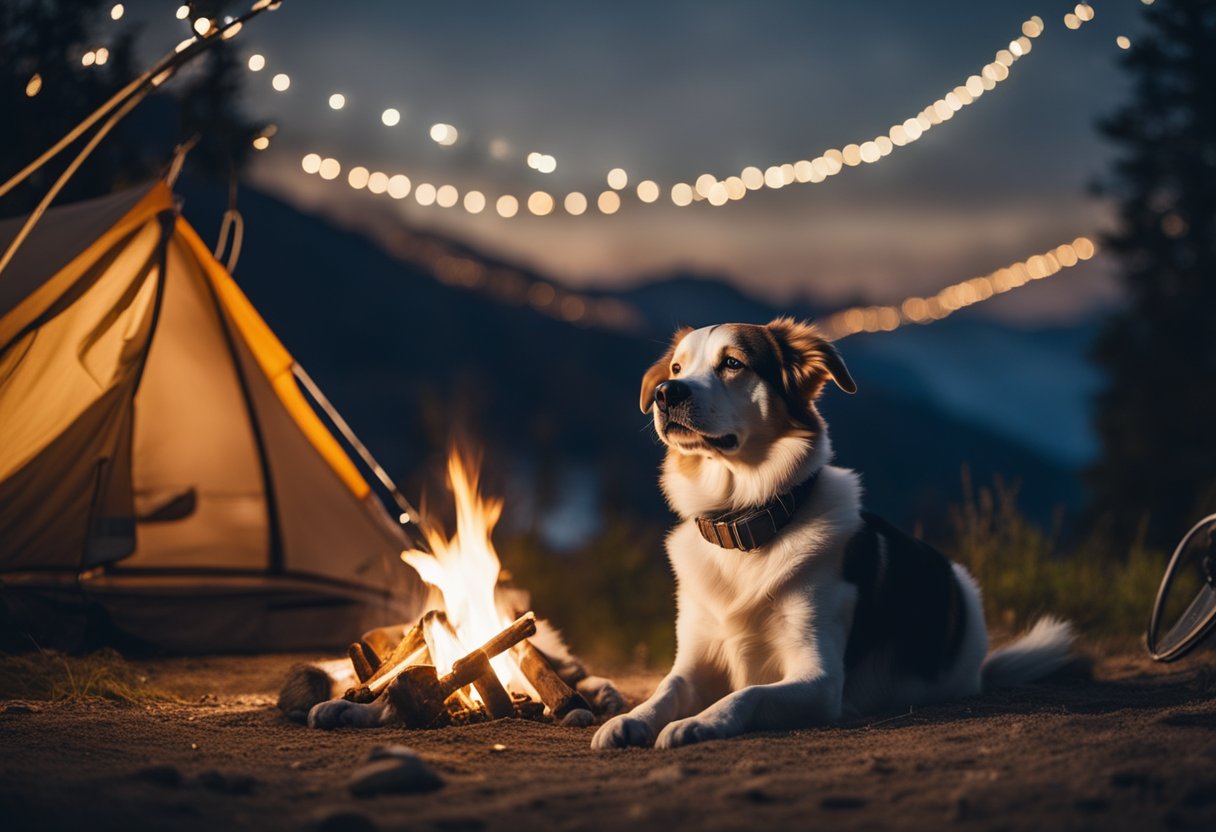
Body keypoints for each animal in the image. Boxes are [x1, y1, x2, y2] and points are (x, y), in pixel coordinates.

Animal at [590, 316, 1074, 749]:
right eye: (676, 368)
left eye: (732, 363)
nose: (665, 393)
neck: (745, 523)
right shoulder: (695, 660)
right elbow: (667, 689)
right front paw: (631, 719)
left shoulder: (819, 679)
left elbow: (745, 694)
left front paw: (699, 722)